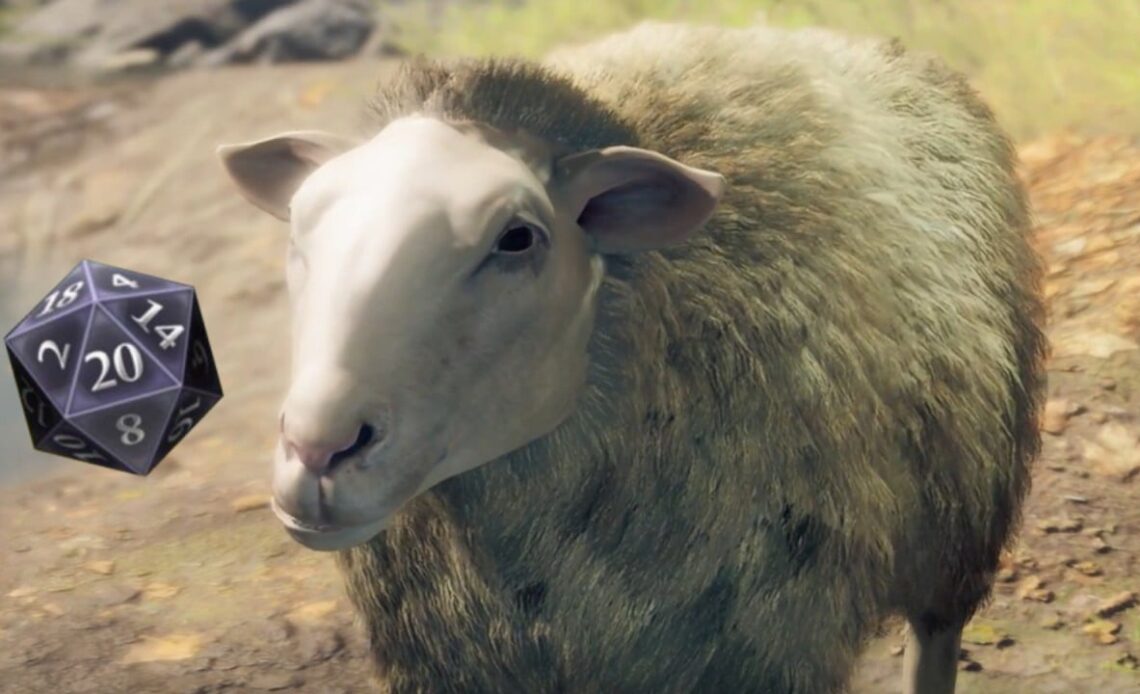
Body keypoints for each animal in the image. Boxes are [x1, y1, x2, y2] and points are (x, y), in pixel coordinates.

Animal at [216, 21, 1047, 694]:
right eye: (300, 224)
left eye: (517, 238)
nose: (318, 450)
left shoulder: (752, 641)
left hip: (962, 514)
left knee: (935, 636)